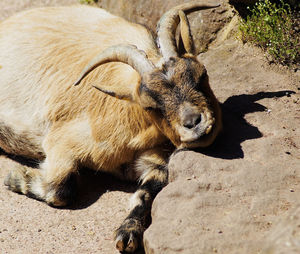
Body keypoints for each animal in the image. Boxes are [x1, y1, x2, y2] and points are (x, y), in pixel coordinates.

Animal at [0, 1, 223, 252]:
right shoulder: (61, 141)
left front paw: (127, 233)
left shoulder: (156, 158)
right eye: (151, 105)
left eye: (202, 75)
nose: (194, 123)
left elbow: (146, 192)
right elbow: (59, 188)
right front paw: (15, 177)